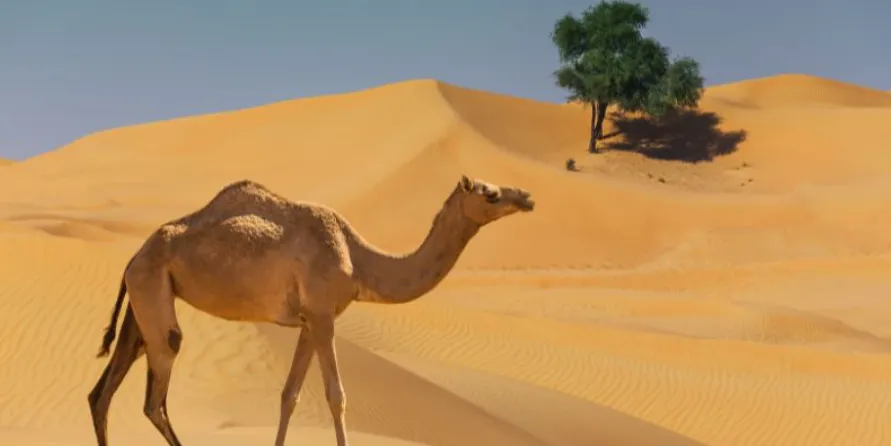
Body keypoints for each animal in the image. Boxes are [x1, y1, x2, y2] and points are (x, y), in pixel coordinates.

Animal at [87, 175, 535, 446]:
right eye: (490, 193)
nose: (527, 197)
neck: (358, 258)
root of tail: (132, 258)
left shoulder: (307, 322)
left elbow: (290, 395)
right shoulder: (322, 315)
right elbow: (336, 395)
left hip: (142, 302)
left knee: (102, 393)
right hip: (152, 291)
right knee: (155, 395)